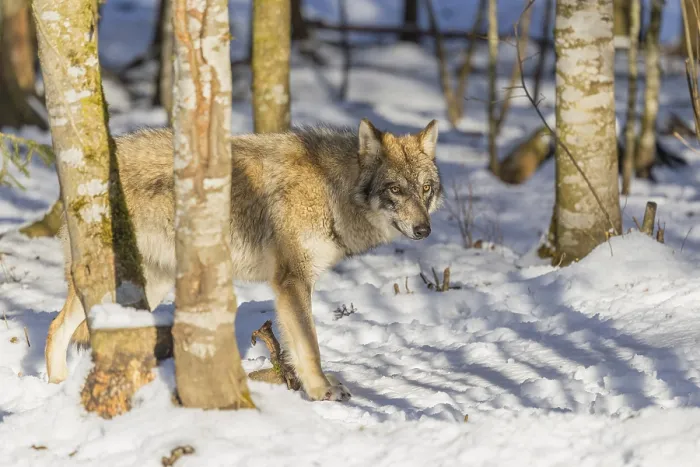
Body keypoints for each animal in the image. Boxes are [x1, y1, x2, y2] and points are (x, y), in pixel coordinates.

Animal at [45, 118, 443, 401]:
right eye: (396, 189)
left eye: (425, 188)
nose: (424, 229)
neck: (332, 190)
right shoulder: (291, 281)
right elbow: (310, 346)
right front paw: (321, 391)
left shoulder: (292, 285)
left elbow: (297, 348)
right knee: (56, 327)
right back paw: (58, 385)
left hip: (147, 288)